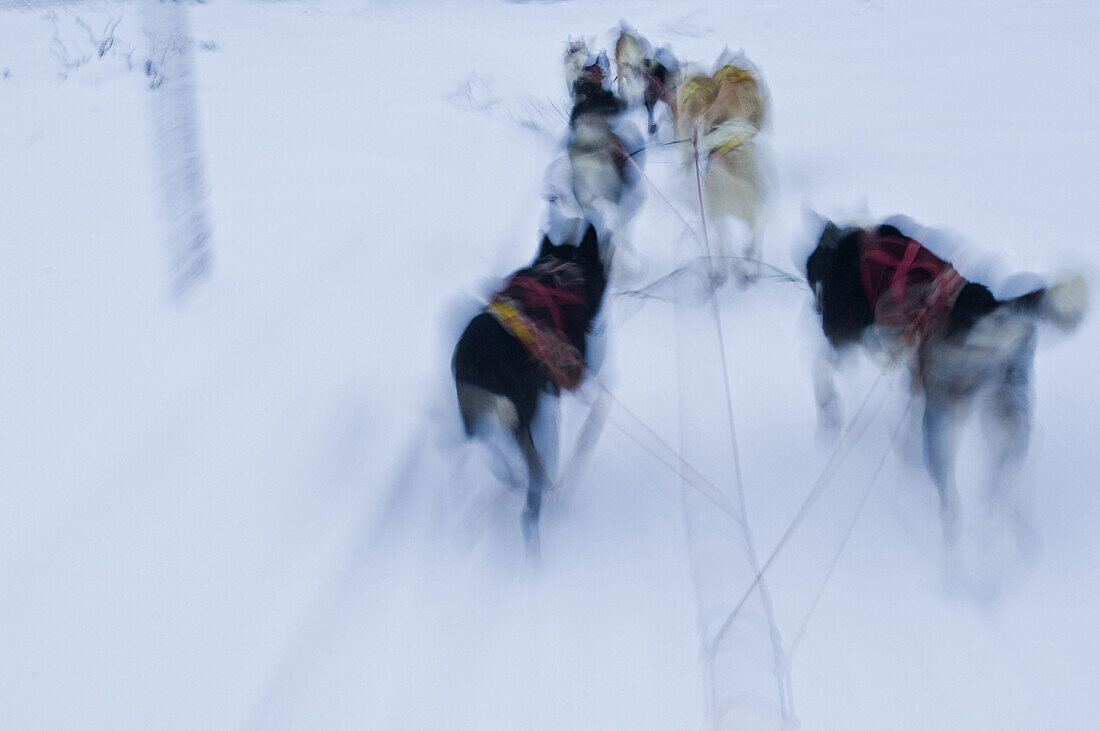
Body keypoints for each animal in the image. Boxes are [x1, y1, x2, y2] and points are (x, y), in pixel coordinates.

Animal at [453, 222, 611, 554]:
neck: (564, 271)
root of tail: (480, 365)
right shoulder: (574, 377)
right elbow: (596, 413)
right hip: (526, 422)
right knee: (531, 502)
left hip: (486, 424)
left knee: (502, 470)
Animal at [805, 215, 1086, 540]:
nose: (814, 307)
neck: (847, 244)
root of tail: (986, 305)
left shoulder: (844, 336)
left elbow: (821, 367)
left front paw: (828, 414)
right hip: (1005, 418)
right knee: (1007, 488)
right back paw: (1006, 529)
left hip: (943, 422)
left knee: (952, 502)